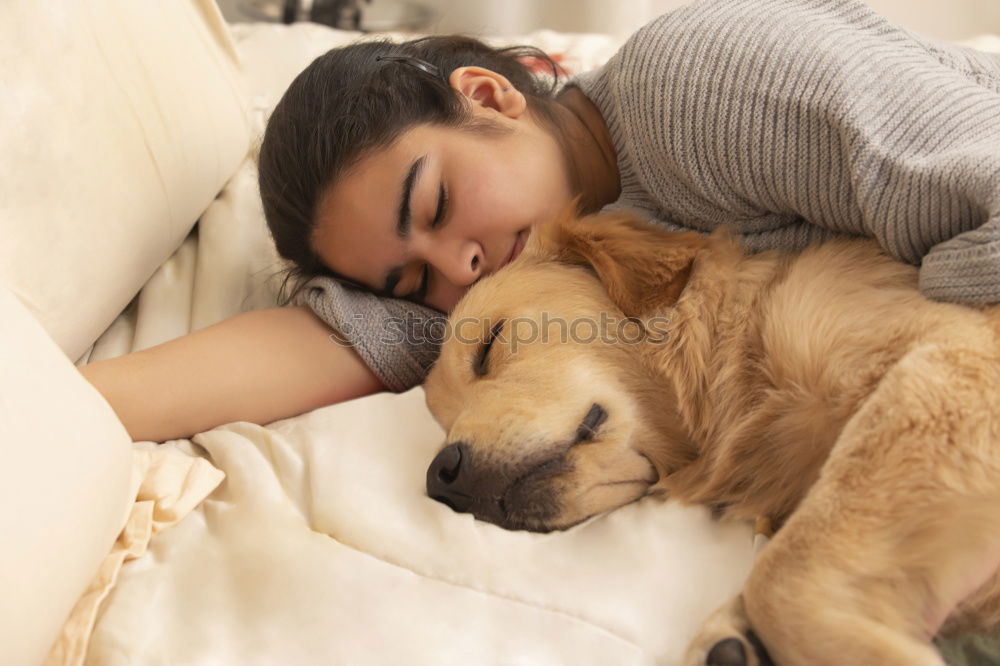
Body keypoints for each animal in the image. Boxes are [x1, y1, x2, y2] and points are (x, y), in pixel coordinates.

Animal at [422, 209, 1000, 664]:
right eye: (441, 421)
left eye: (489, 346)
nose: (442, 477)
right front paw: (735, 638)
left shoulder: (949, 367)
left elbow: (779, 577)